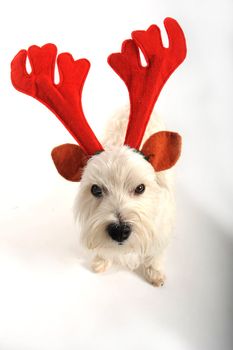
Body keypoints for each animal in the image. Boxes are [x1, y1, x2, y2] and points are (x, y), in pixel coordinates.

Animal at [74, 107, 175, 288]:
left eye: (140, 188)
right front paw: (101, 260)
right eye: (96, 190)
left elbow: (155, 253)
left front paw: (155, 272)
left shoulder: (161, 227)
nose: (119, 231)